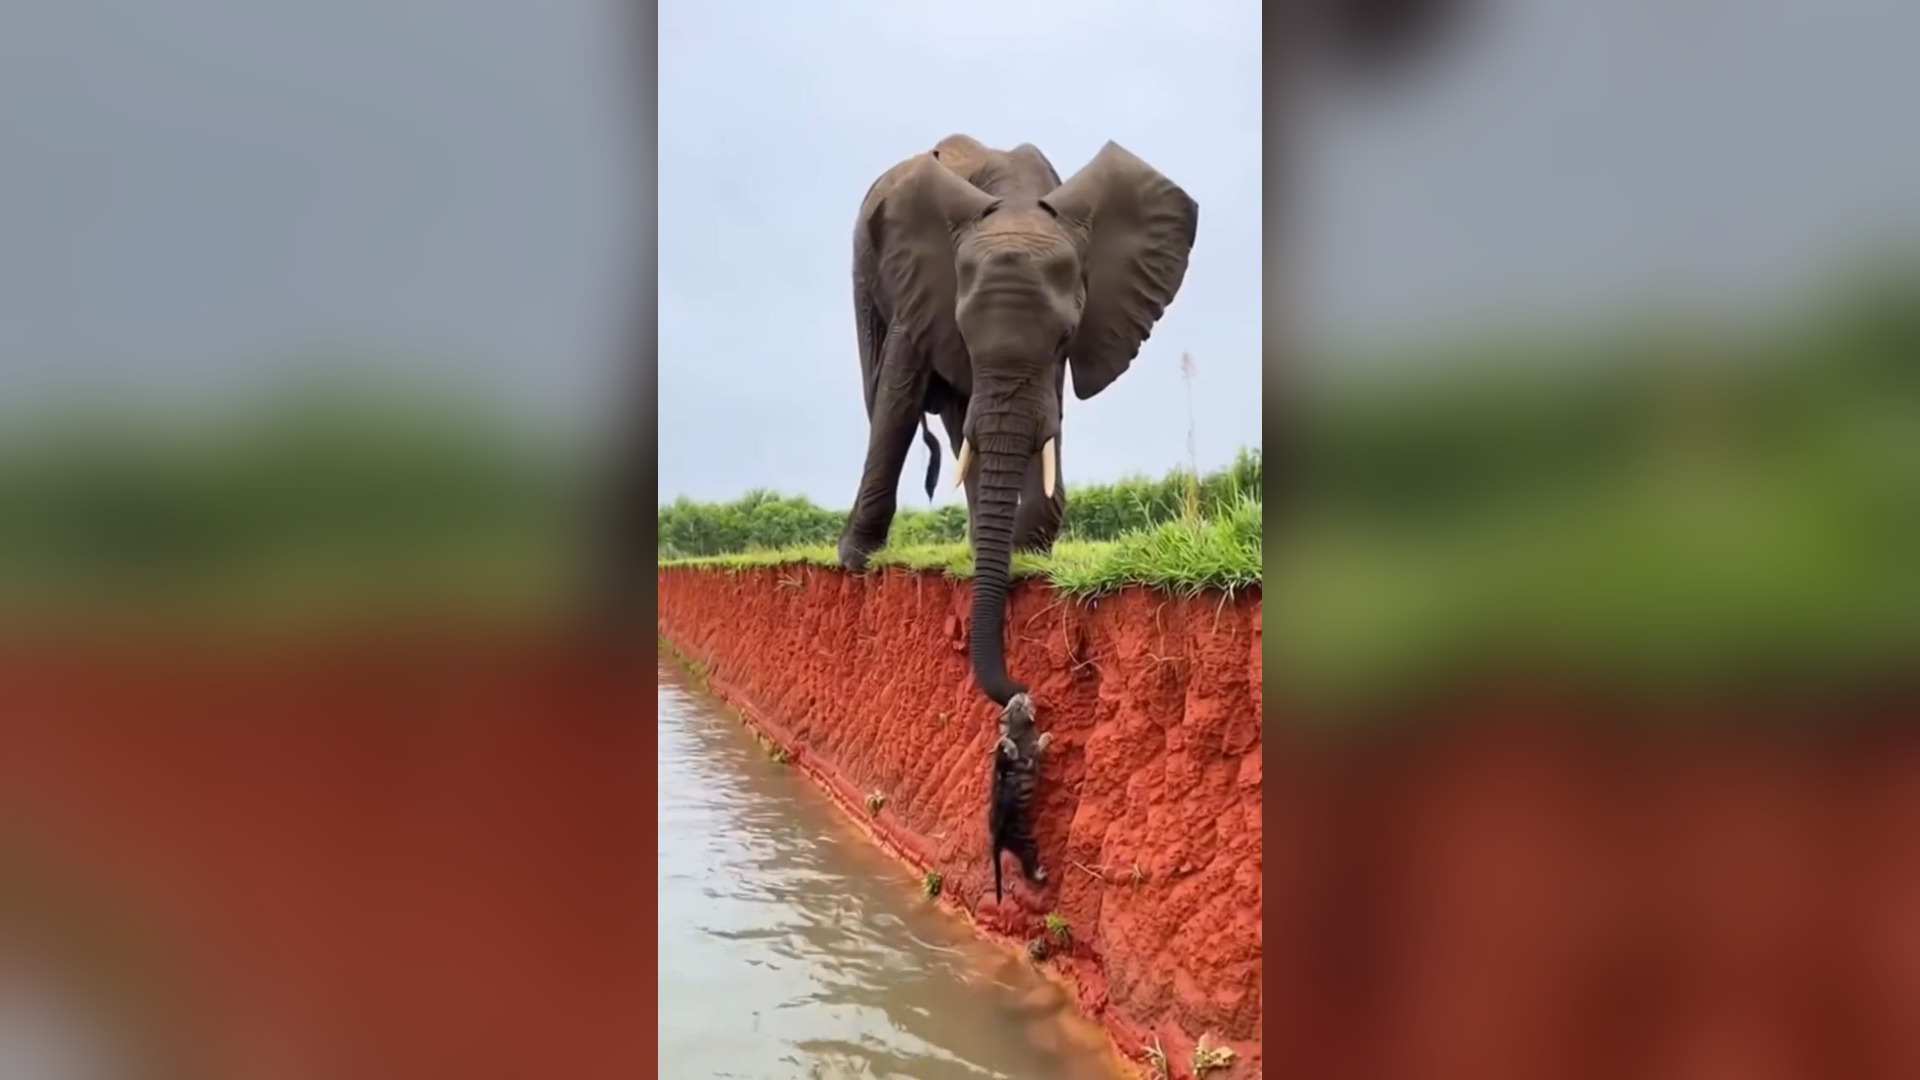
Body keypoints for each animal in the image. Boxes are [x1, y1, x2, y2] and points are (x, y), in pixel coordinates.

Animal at [835, 134, 1199, 707]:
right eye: (963, 331)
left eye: (1064, 337)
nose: (1021, 702)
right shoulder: (919, 284)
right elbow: (898, 394)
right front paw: (854, 562)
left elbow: (1049, 414)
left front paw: (1027, 553)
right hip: (863, 278)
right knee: (889, 398)